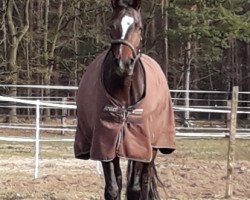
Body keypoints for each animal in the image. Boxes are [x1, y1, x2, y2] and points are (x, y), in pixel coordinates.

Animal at [74, 0, 176, 199]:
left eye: (139, 27)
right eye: (111, 26)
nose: (123, 64)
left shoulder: (139, 144)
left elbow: (134, 189)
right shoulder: (105, 142)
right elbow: (113, 188)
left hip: (151, 148)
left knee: (144, 181)